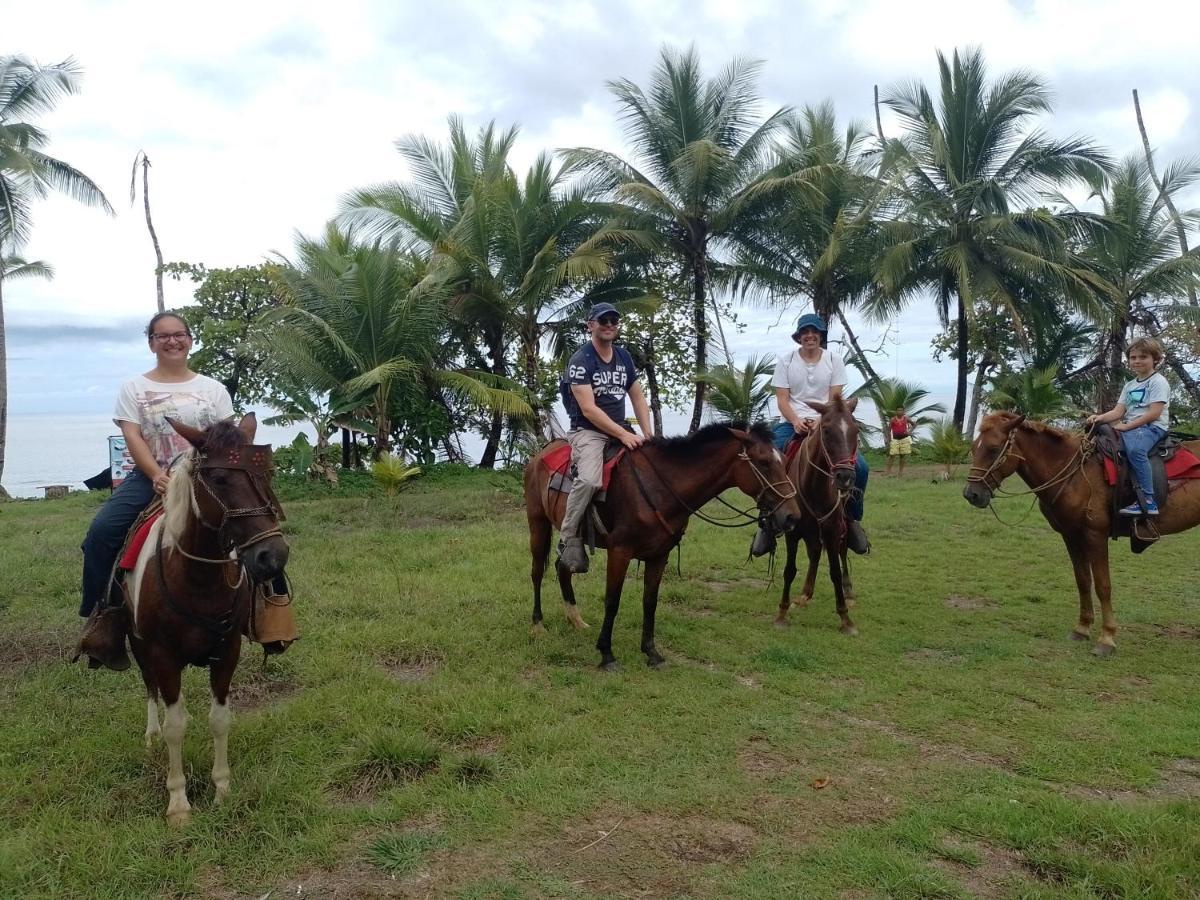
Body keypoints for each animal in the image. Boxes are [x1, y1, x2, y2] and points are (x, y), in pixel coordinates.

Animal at [126, 415, 288, 825]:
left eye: (268, 474)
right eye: (219, 478)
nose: (273, 555)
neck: (197, 580)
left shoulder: (227, 653)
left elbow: (219, 720)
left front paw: (223, 789)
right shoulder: (163, 654)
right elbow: (175, 727)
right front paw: (178, 803)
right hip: (138, 644)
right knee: (149, 687)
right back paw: (151, 735)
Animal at [523, 422, 796, 672]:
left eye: (783, 460)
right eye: (763, 462)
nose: (792, 516)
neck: (661, 486)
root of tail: (539, 455)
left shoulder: (659, 555)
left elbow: (650, 601)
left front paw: (651, 652)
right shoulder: (620, 551)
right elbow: (612, 601)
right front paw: (607, 654)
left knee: (563, 568)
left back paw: (576, 620)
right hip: (538, 523)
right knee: (537, 572)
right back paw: (537, 625)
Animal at [772, 398, 868, 638]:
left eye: (856, 430)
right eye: (826, 430)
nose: (845, 477)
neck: (814, 486)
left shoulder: (832, 530)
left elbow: (835, 571)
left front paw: (845, 619)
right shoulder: (792, 533)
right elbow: (789, 571)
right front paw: (782, 614)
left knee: (841, 553)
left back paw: (848, 593)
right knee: (814, 553)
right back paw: (805, 594)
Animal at [960, 412, 1200, 657]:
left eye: (993, 448)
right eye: (974, 447)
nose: (971, 494)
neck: (1073, 473)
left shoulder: (1095, 536)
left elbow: (1103, 586)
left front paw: (1107, 638)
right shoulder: (1071, 535)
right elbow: (1083, 581)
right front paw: (1082, 628)